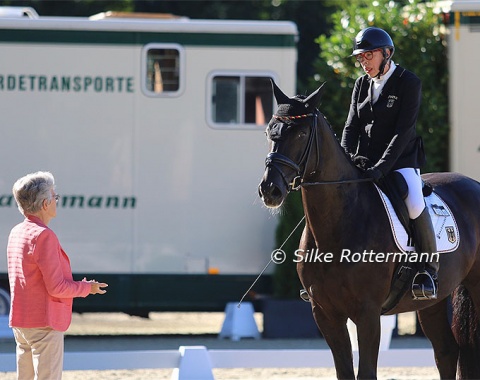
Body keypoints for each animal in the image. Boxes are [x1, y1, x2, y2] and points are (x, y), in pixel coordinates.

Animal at [258, 81, 480, 378]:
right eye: (269, 131)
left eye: (301, 133)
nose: (269, 190)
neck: (339, 224)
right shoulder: (326, 314)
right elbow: (344, 371)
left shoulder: (367, 313)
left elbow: (366, 372)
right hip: (431, 300)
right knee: (446, 351)